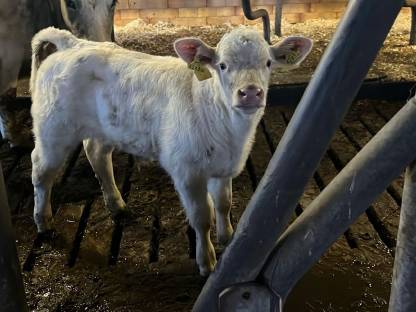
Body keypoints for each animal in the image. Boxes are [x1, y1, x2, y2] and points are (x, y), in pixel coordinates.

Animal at [31, 26, 312, 276]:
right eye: (222, 65)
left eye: (267, 63)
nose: (251, 93)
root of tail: (74, 43)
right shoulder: (187, 172)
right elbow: (202, 217)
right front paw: (206, 261)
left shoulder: (222, 168)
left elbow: (224, 204)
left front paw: (227, 237)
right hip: (53, 130)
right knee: (41, 172)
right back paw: (44, 222)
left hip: (104, 128)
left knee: (96, 154)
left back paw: (117, 205)